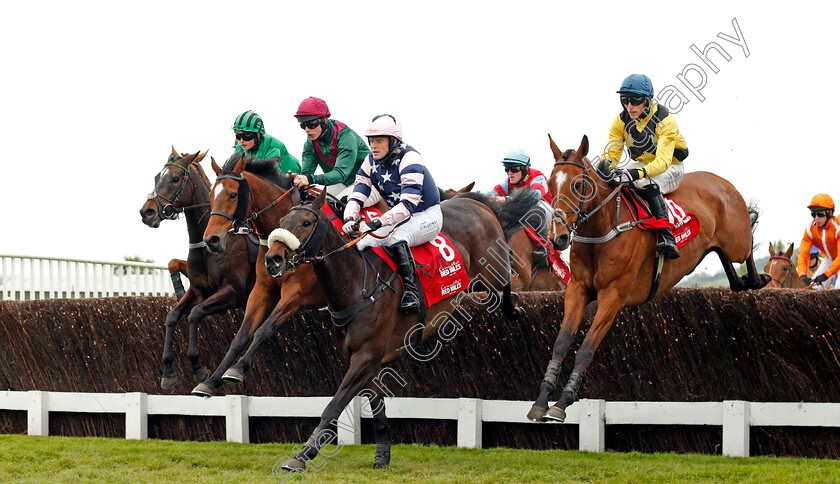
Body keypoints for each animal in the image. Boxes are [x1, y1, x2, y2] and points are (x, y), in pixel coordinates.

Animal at [139, 148, 256, 390]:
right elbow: (172, 316)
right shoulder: (198, 290)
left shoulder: (232, 293)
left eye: (175, 179)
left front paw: (198, 367)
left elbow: (195, 314)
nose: (147, 212)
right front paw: (168, 371)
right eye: (156, 177)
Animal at [266, 185, 520, 468]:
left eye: (306, 222)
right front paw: (382, 456)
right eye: (281, 220)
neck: (357, 284)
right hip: (476, 283)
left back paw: (513, 308)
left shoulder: (366, 357)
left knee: (508, 272)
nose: (273, 259)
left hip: (493, 271)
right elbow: (378, 411)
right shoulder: (369, 362)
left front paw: (302, 455)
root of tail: (474, 202)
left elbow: (333, 407)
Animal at [528, 134, 772, 422]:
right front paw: (541, 400)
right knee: (726, 262)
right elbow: (561, 343)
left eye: (578, 184)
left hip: (737, 241)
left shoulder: (612, 296)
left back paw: (757, 279)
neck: (604, 229)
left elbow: (586, 349)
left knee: (747, 247)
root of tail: (724, 182)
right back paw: (741, 282)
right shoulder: (577, 290)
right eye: (550, 183)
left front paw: (562, 402)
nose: (558, 237)